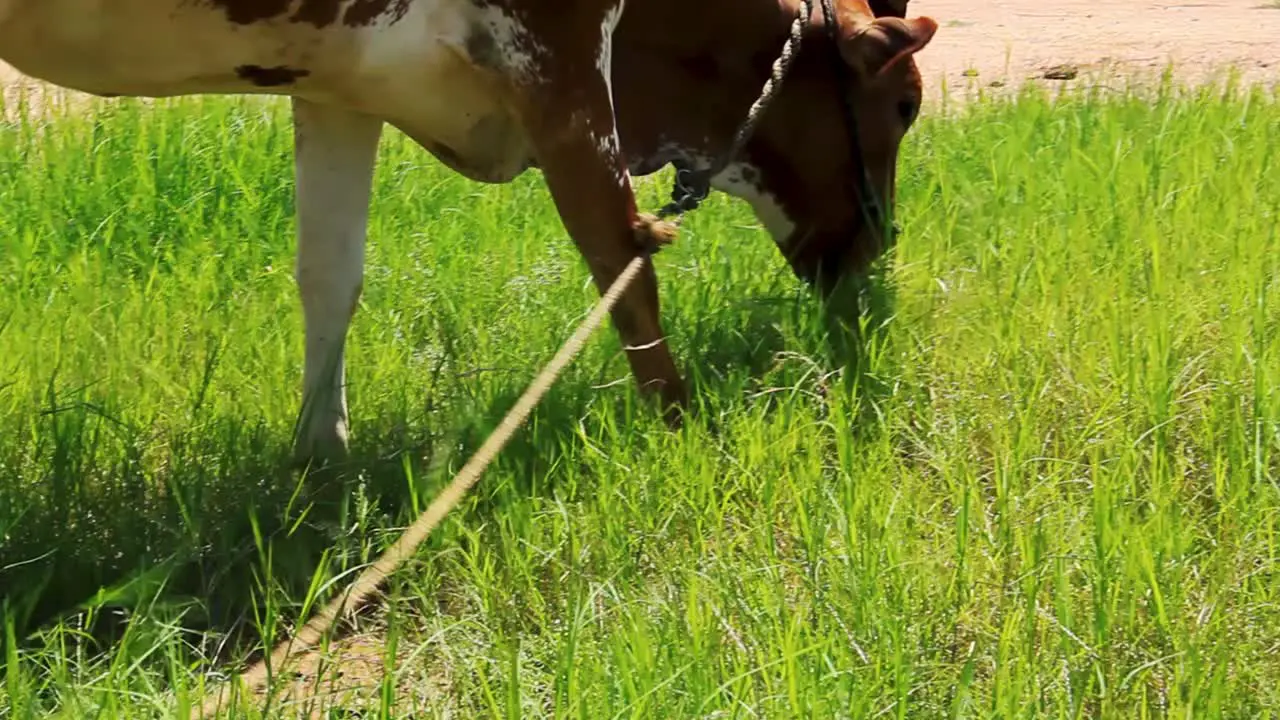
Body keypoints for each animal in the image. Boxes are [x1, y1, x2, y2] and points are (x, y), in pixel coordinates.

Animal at [0, 0, 942, 461]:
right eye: (906, 105)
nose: (877, 255)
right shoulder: (562, 64)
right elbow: (622, 265)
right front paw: (681, 433)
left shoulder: (335, 83)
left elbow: (329, 274)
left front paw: (318, 457)